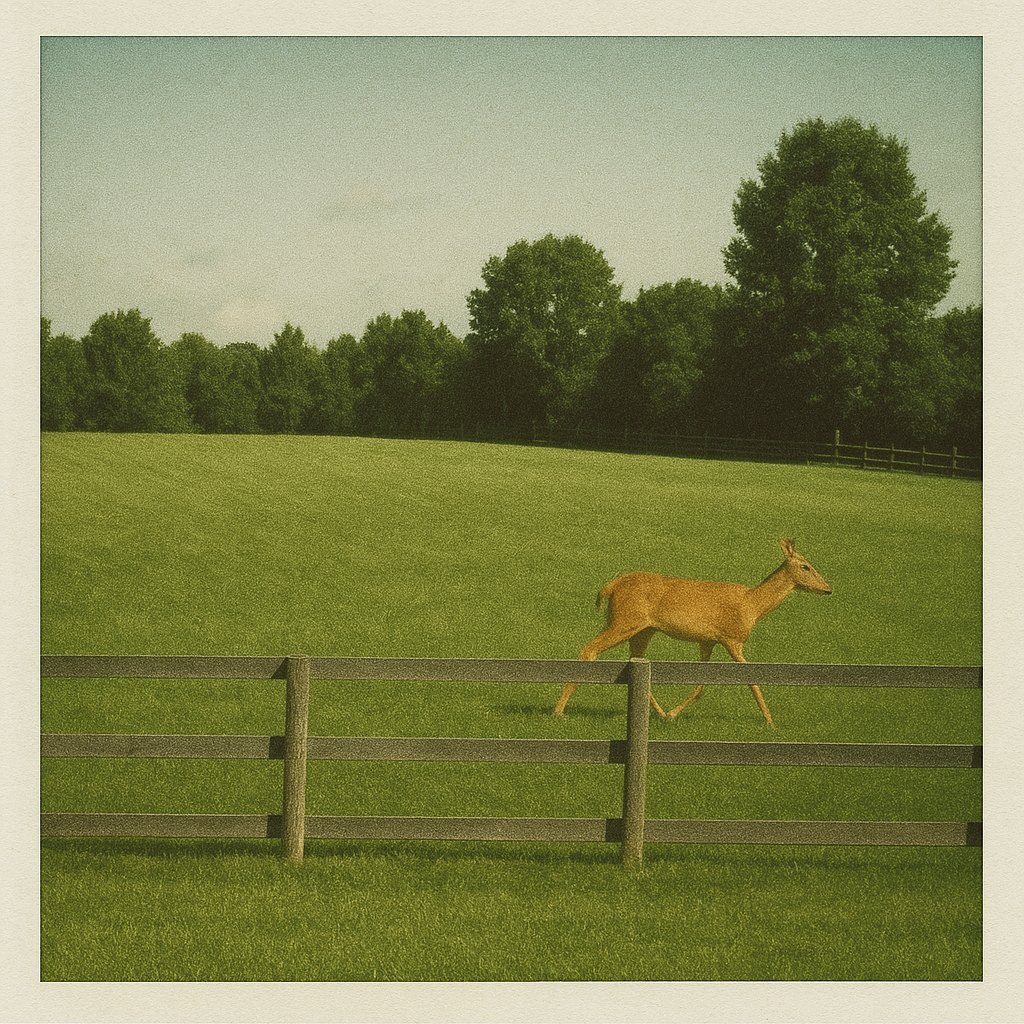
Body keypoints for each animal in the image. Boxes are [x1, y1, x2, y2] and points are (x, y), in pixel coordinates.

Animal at [552, 539, 832, 725]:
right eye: (806, 566)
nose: (828, 588)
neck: (752, 606)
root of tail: (610, 586)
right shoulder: (732, 637)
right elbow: (752, 680)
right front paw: (770, 721)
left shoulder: (707, 641)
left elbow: (701, 685)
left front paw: (674, 713)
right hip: (624, 620)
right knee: (589, 649)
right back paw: (558, 710)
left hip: (643, 629)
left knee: (634, 661)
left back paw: (660, 712)